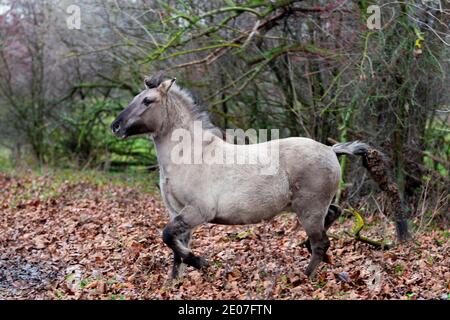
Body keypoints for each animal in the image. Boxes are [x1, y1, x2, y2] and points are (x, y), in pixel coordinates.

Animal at [110, 74, 408, 278]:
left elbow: (167, 237)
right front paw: (175, 280)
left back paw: (304, 276)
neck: (190, 156)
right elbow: (175, 246)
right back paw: (307, 251)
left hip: (309, 209)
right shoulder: (178, 212)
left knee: (322, 242)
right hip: (314, 207)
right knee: (333, 215)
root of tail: (330, 149)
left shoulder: (197, 212)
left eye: (147, 100)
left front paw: (201, 262)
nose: (115, 126)